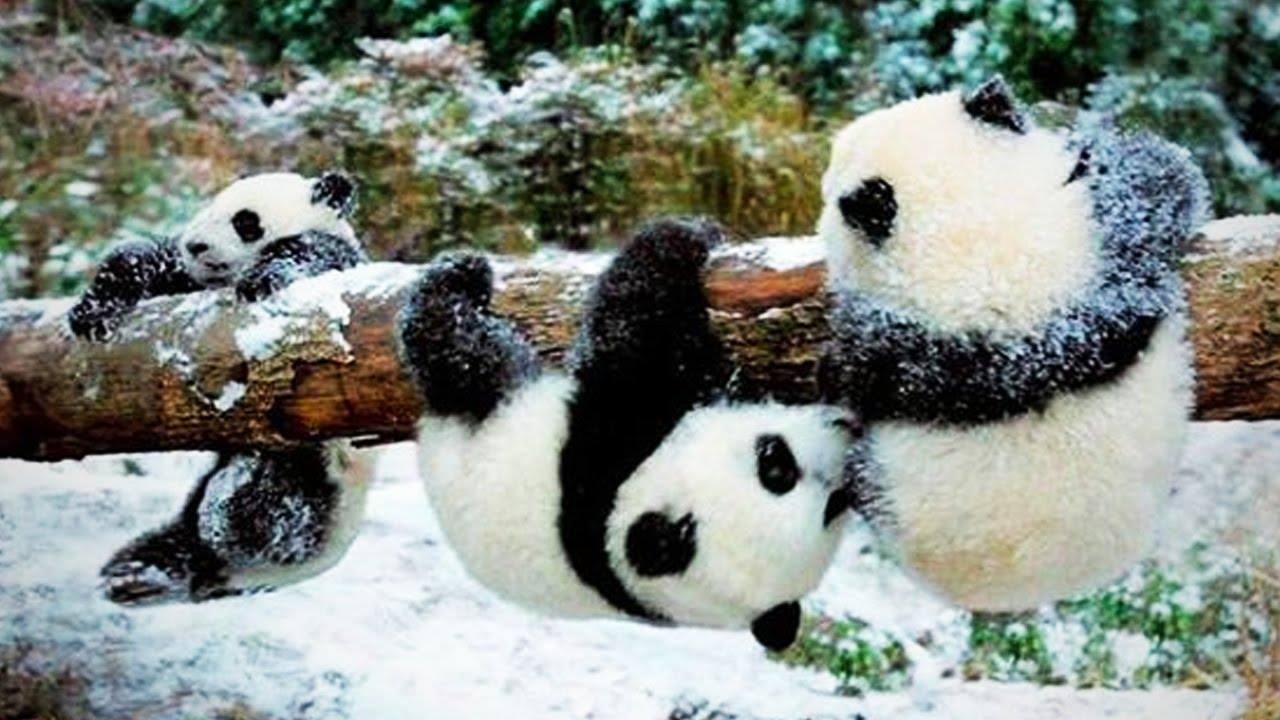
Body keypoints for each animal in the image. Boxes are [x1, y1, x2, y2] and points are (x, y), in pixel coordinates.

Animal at [68, 171, 374, 605]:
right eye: (210, 208)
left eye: (245, 221)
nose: (195, 245)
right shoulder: (187, 279)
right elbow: (149, 261)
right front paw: (93, 309)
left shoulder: (340, 255)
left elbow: (308, 257)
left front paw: (262, 280)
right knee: (183, 537)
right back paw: (137, 574)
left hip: (317, 469)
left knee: (269, 511)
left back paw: (222, 516)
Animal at [398, 218, 859, 649]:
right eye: (775, 464)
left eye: (835, 502)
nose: (846, 433)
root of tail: (430, 444)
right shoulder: (604, 457)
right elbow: (637, 330)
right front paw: (689, 233)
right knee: (458, 347)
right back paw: (461, 276)